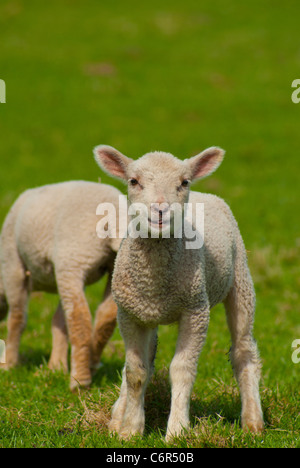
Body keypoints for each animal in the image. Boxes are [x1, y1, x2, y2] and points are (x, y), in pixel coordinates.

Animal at [0, 181, 124, 390]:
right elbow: (65, 321)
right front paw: (60, 369)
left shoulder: (13, 266)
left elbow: (17, 319)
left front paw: (8, 365)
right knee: (102, 317)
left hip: (69, 262)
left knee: (74, 319)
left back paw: (74, 378)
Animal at [94, 144, 264, 440]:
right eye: (133, 181)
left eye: (184, 182)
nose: (161, 210)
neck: (155, 277)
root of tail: (205, 195)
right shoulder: (129, 314)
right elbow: (135, 372)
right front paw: (130, 429)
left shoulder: (195, 310)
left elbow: (182, 370)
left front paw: (177, 430)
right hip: (145, 312)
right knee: (145, 362)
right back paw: (118, 415)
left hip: (240, 278)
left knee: (244, 351)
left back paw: (253, 422)